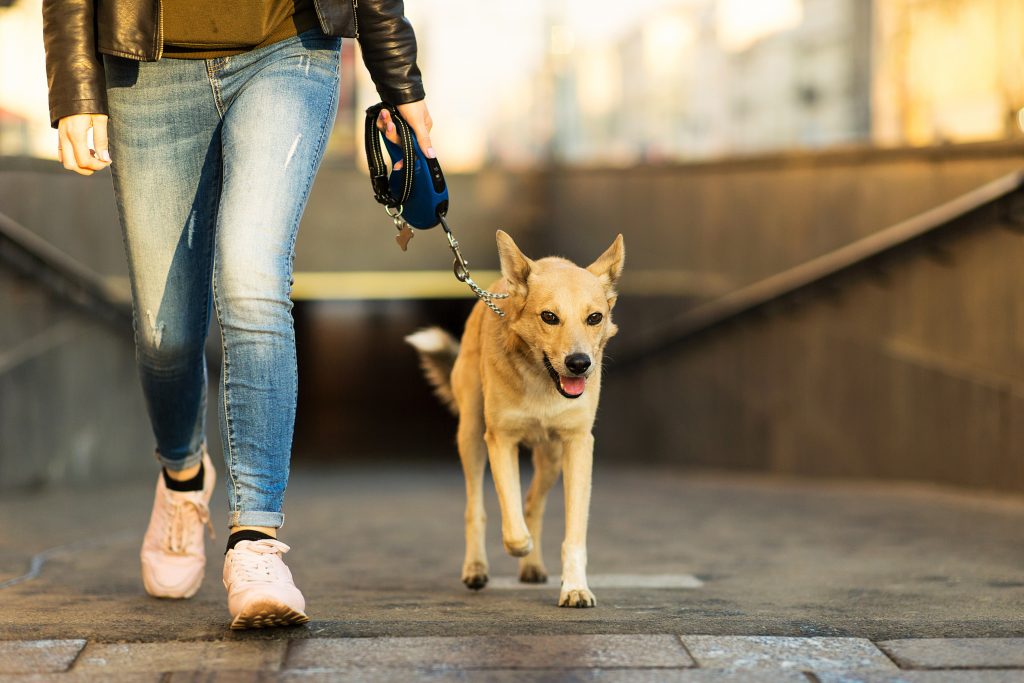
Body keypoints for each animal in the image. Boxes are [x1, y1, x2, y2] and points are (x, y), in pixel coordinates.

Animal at [403, 231, 618, 610]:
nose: (579, 364)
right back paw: (476, 568)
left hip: (552, 457)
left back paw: (532, 567)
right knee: (476, 509)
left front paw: (575, 587)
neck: (543, 381)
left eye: (595, 317)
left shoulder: (578, 444)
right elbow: (513, 522)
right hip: (471, 437)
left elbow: (574, 530)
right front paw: (520, 545)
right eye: (549, 316)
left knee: (532, 503)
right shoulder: (500, 440)